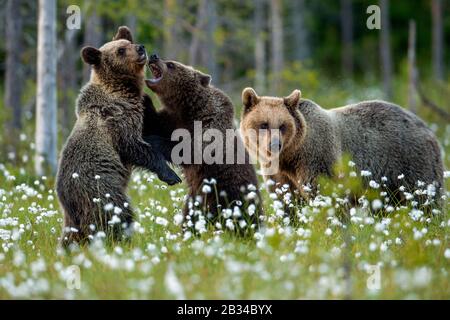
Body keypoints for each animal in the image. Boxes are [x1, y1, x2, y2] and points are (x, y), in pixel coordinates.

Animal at [56, 26, 181, 248]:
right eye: (121, 50)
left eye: (128, 42)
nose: (141, 48)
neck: (121, 91)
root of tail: (66, 199)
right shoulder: (117, 121)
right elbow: (136, 147)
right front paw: (170, 175)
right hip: (100, 190)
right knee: (117, 214)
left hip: (74, 214)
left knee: (72, 234)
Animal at [142, 55, 262, 230]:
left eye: (171, 64)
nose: (154, 56)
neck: (188, 108)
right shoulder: (172, 120)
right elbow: (154, 123)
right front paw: (144, 99)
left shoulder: (210, 124)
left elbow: (192, 150)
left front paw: (154, 141)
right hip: (196, 200)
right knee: (190, 217)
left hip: (227, 194)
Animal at [241, 87, 444, 208]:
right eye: (264, 124)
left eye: (283, 125)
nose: (275, 144)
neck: (292, 155)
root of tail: (427, 127)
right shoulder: (279, 173)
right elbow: (286, 199)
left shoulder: (316, 157)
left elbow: (324, 191)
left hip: (410, 162)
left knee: (424, 197)